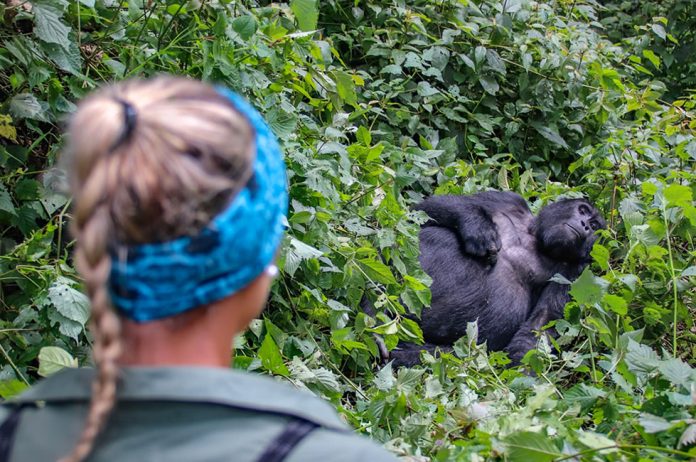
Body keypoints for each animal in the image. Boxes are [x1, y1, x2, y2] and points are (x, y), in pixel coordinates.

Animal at [388, 189, 608, 366]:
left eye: (594, 225)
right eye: (582, 211)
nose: (584, 225)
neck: (536, 239)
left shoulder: (577, 272)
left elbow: (541, 325)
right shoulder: (508, 199)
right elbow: (424, 211)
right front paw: (477, 228)